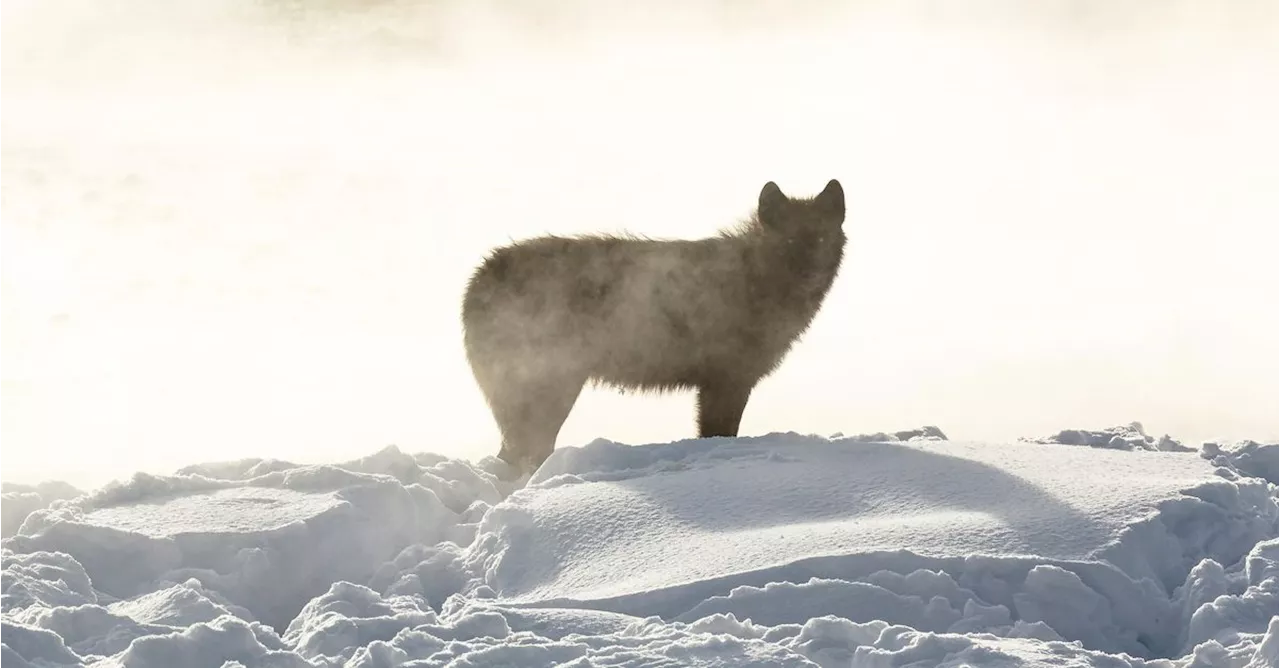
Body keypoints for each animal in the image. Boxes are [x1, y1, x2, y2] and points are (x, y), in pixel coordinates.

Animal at [463, 177, 849, 473]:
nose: (809, 274)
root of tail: (478, 277)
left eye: (821, 239)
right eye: (788, 241)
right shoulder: (726, 382)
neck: (756, 280)